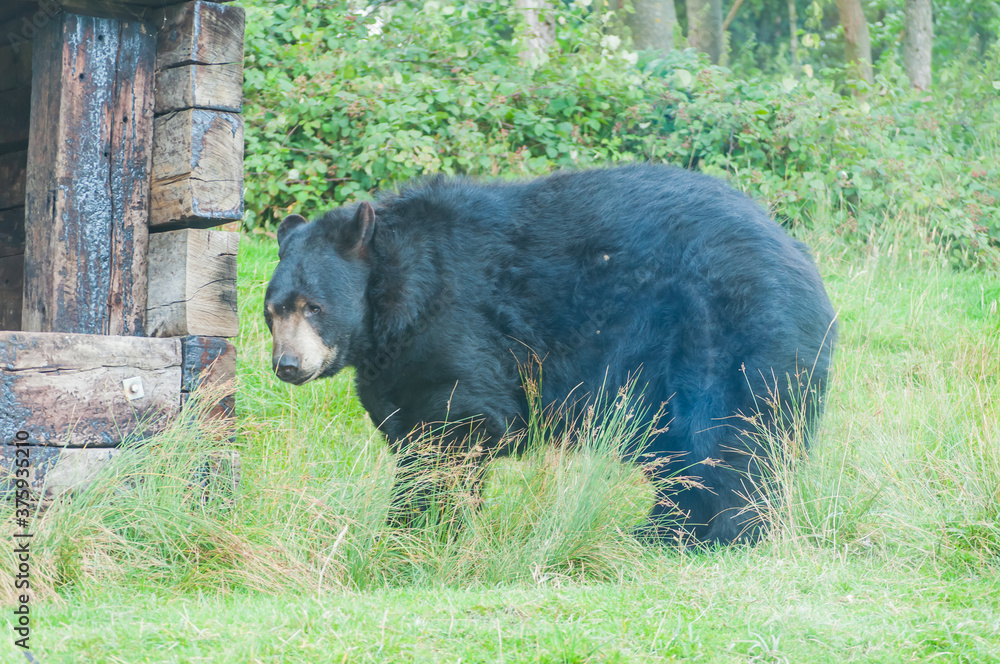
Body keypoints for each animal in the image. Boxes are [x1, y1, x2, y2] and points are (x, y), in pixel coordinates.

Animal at [264, 164, 837, 545]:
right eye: (273, 311)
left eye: (314, 306)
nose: (287, 365)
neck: (396, 297)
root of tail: (800, 256)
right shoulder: (394, 359)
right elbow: (407, 426)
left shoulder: (456, 324)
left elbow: (454, 423)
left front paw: (421, 529)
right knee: (681, 450)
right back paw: (661, 530)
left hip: (728, 332)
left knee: (734, 436)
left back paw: (726, 532)